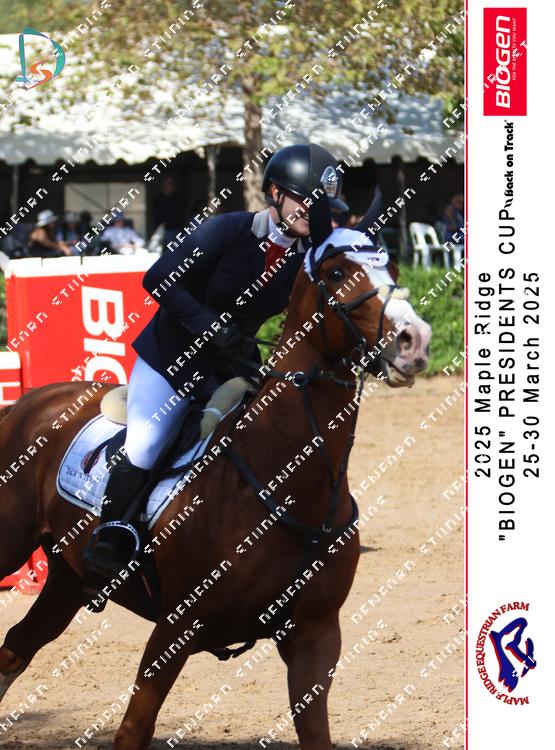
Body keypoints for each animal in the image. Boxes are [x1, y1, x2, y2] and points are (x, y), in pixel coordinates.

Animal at [0, 199, 431, 749]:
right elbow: (134, 727)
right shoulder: (176, 628)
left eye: (392, 267)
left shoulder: (315, 637)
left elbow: (315, 731)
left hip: (67, 579)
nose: (414, 341)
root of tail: (29, 403)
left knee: (16, 647)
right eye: (336, 273)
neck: (282, 481)